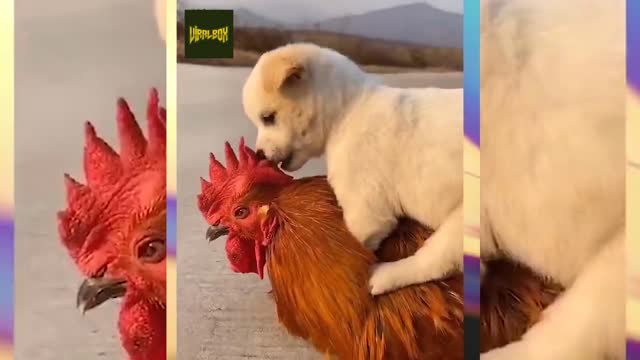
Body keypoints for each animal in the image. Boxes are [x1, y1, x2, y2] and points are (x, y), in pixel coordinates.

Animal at [242, 43, 462, 296]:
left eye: (268, 118)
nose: (259, 154)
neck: (347, 111)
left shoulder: (365, 211)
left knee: (437, 261)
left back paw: (385, 276)